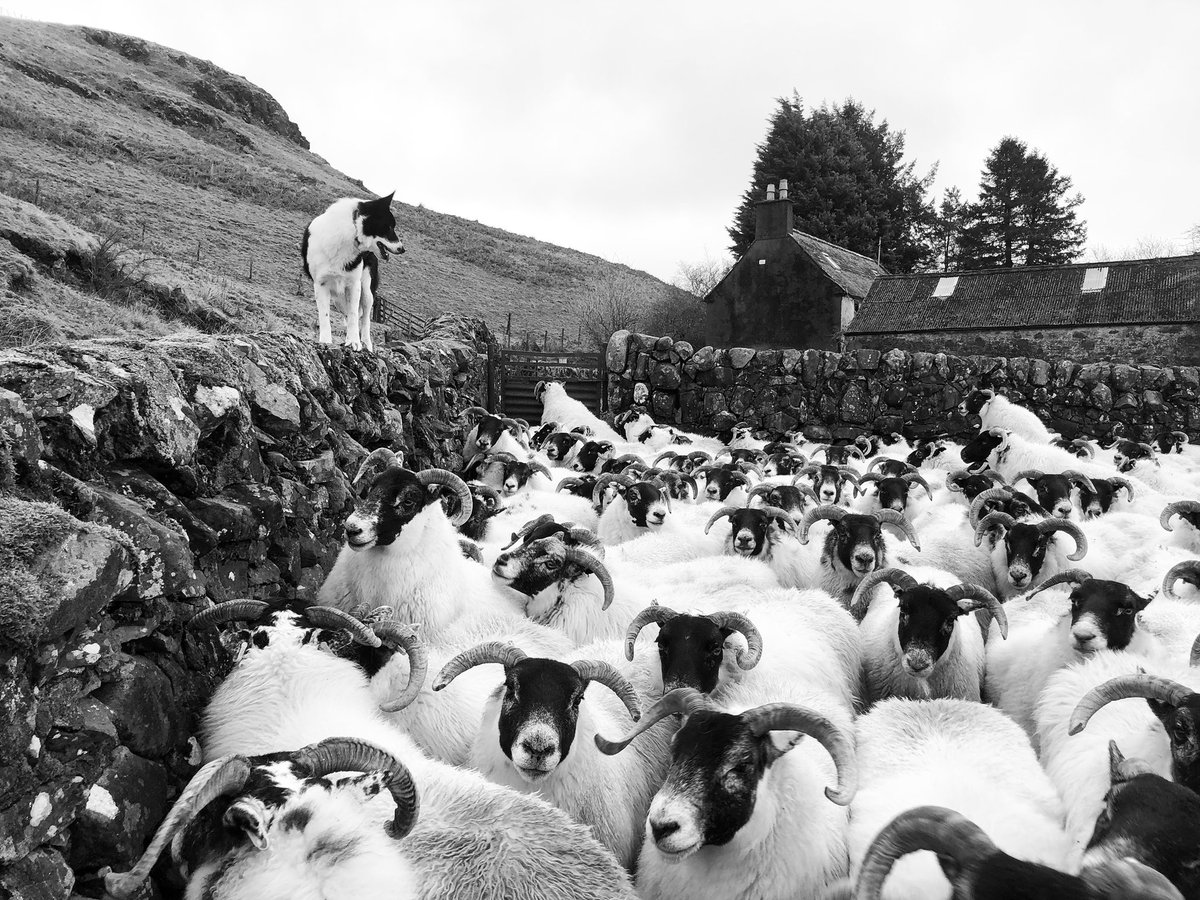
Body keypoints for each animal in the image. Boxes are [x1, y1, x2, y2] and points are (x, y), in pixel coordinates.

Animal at [302, 193, 405, 352]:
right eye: (388, 227)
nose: (402, 249)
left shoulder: (353, 285)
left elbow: (354, 316)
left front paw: (354, 342)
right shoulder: (321, 284)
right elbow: (324, 316)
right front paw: (326, 342)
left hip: (367, 291)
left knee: (364, 319)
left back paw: (366, 344)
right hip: (338, 300)